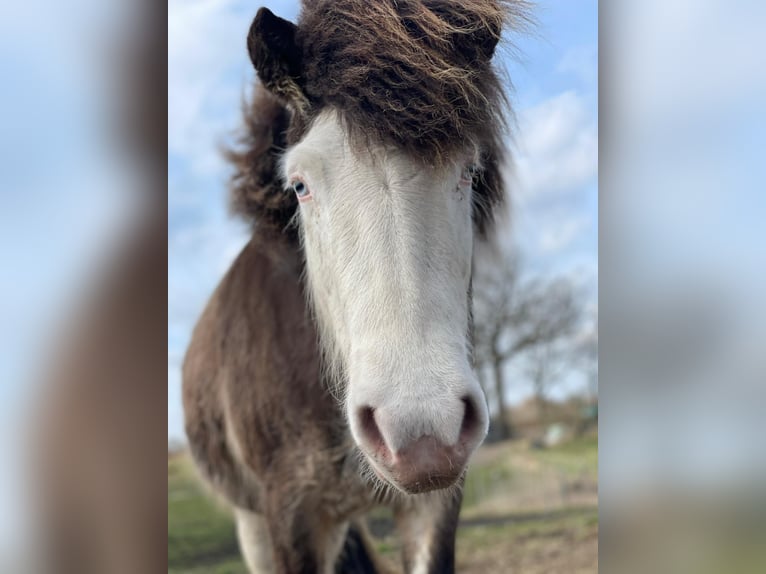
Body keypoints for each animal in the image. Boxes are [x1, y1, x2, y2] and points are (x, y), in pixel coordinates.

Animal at [183, 1, 527, 572]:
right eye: (299, 186)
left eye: (468, 172)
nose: (422, 435)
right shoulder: (290, 518)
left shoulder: (433, 507)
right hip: (252, 524)